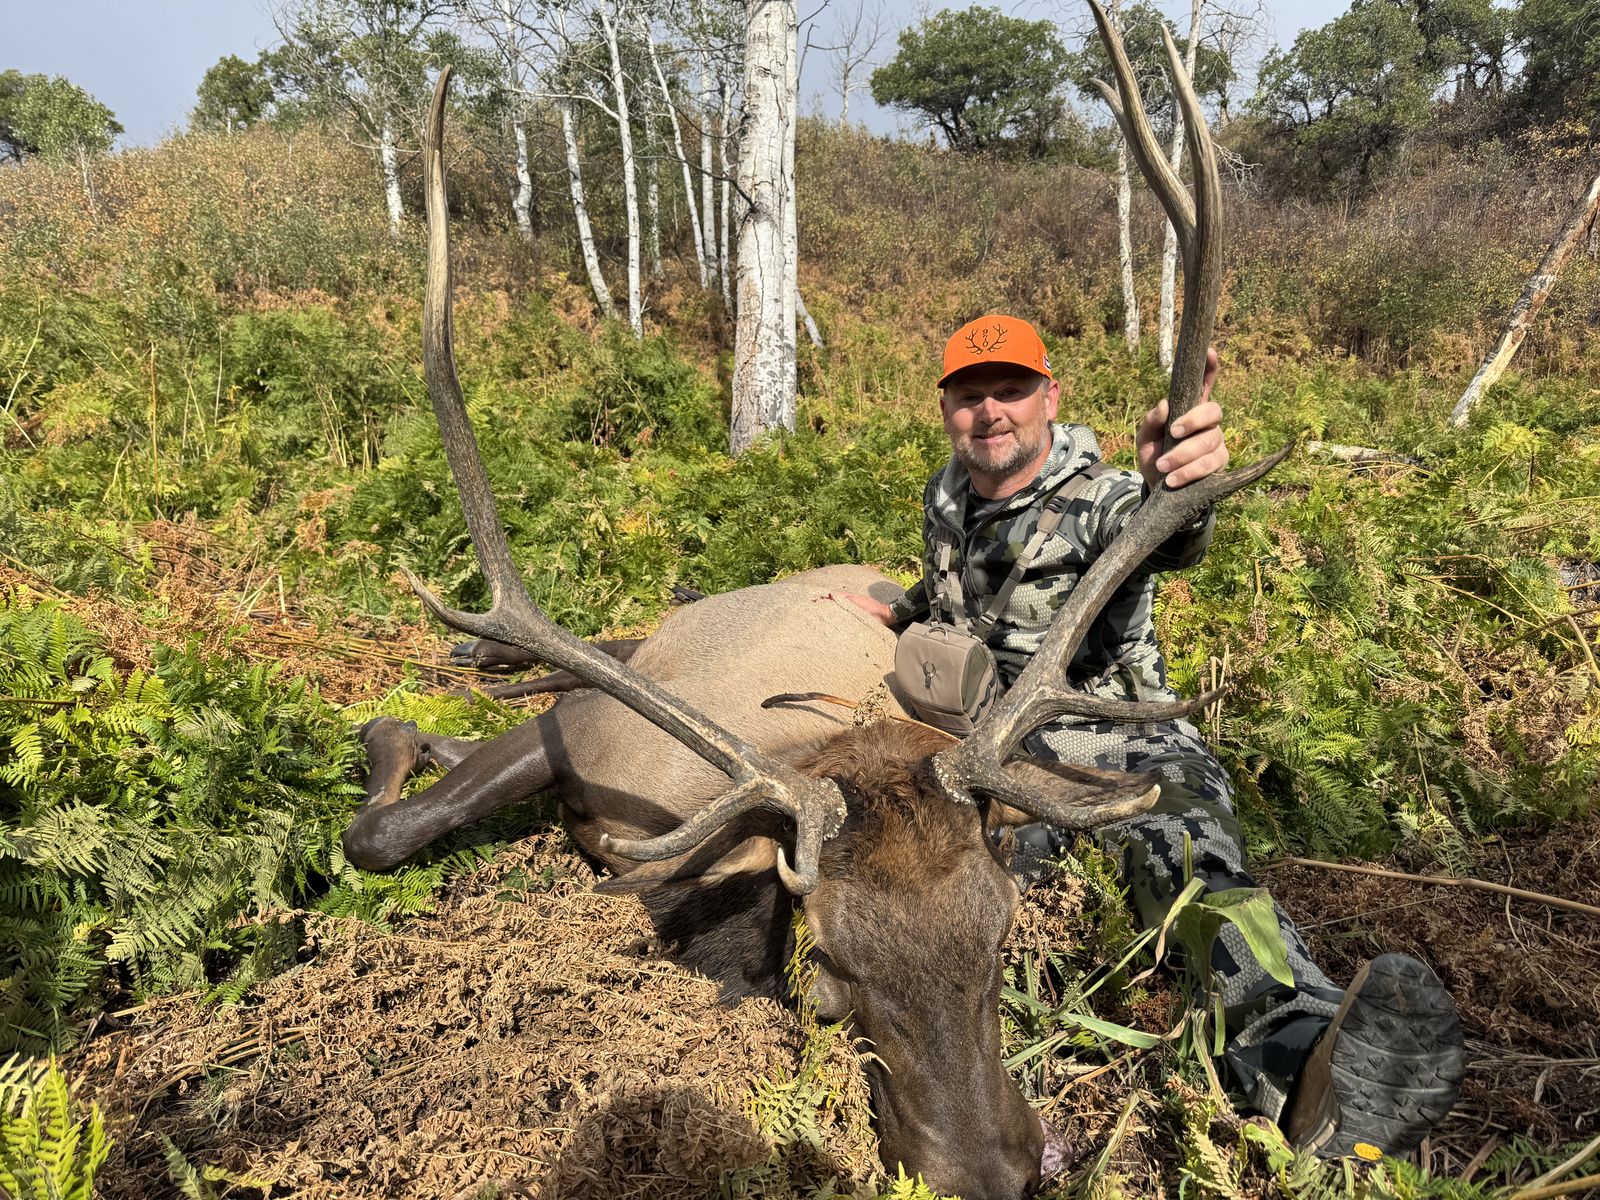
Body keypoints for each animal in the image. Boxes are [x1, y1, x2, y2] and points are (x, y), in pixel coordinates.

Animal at [345, 9, 1290, 1197]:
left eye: (1000, 934)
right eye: (833, 956)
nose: (993, 1170)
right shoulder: (577, 730)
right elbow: (383, 831)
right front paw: (394, 739)